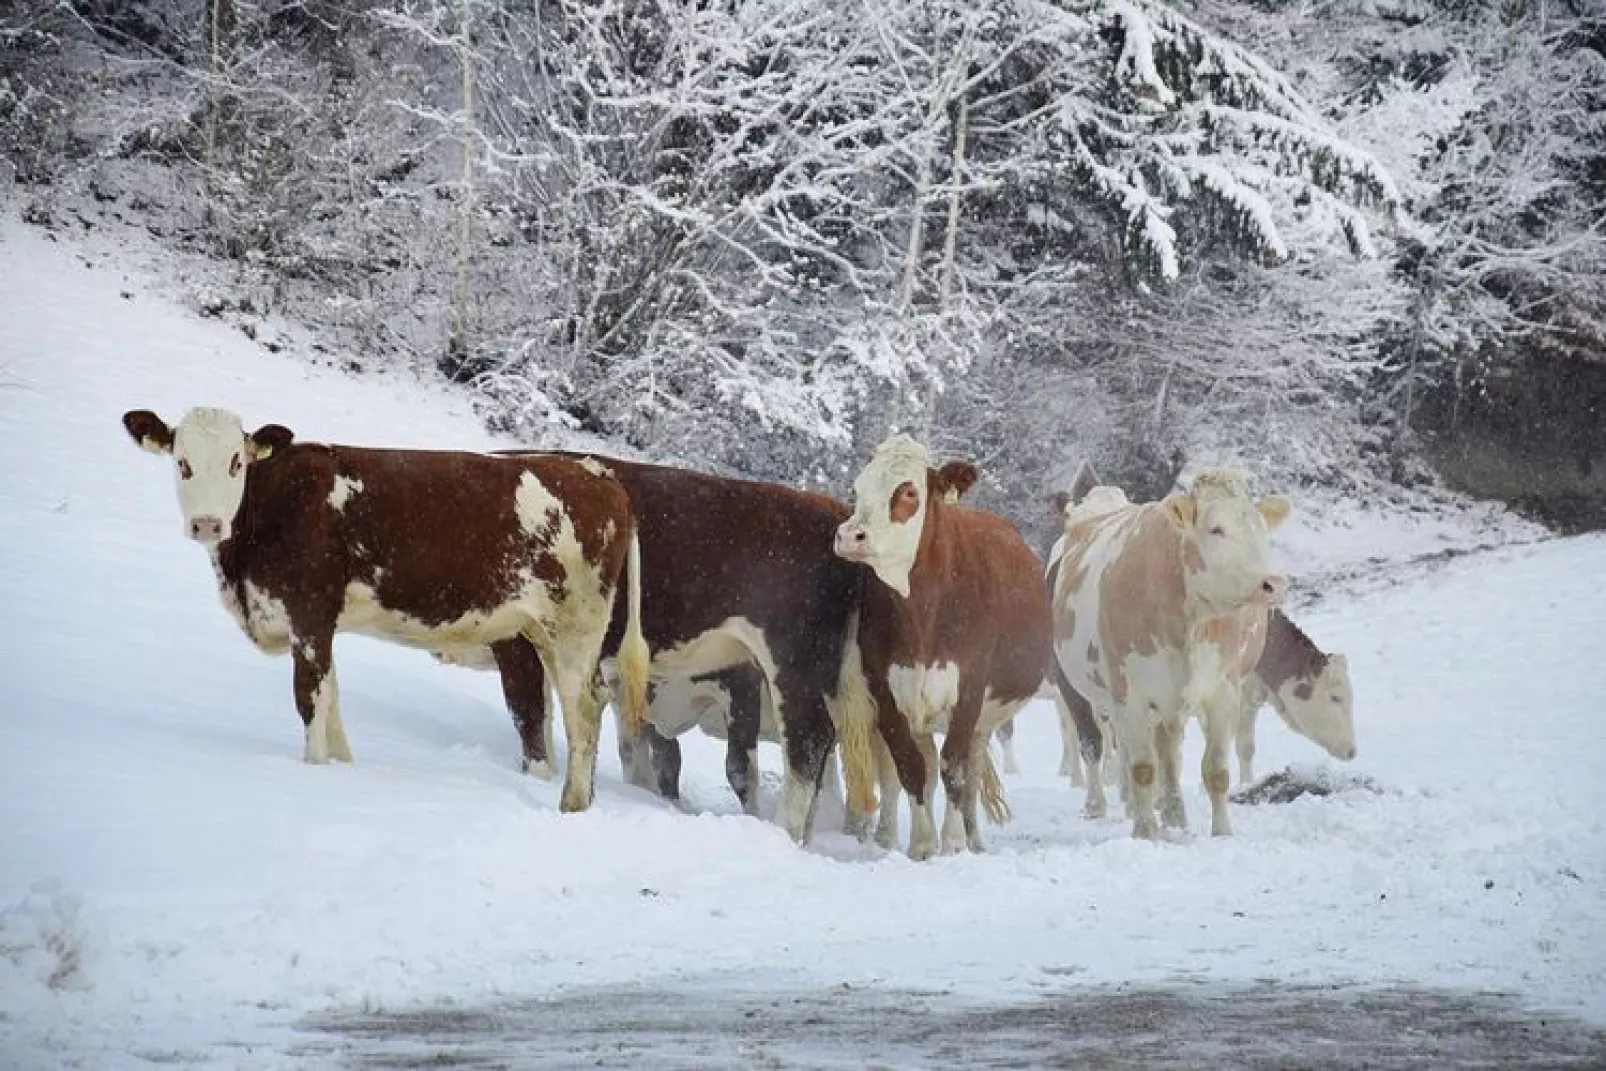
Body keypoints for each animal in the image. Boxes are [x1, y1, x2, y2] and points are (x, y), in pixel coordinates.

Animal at [122, 404, 645, 812]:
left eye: (236, 463)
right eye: (182, 463)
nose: (207, 524)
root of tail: (596, 474)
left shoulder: (309, 613)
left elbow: (310, 700)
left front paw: (312, 773)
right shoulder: (317, 624)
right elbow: (333, 701)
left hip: (574, 628)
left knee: (583, 712)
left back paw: (571, 805)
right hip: (542, 633)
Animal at [828, 430, 1053, 860]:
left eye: (908, 491)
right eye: (857, 488)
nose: (850, 536)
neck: (921, 612)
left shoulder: (968, 691)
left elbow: (956, 770)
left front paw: (952, 843)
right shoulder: (887, 693)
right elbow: (910, 767)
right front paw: (922, 844)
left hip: (984, 715)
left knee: (971, 765)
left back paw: (973, 839)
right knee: (923, 766)